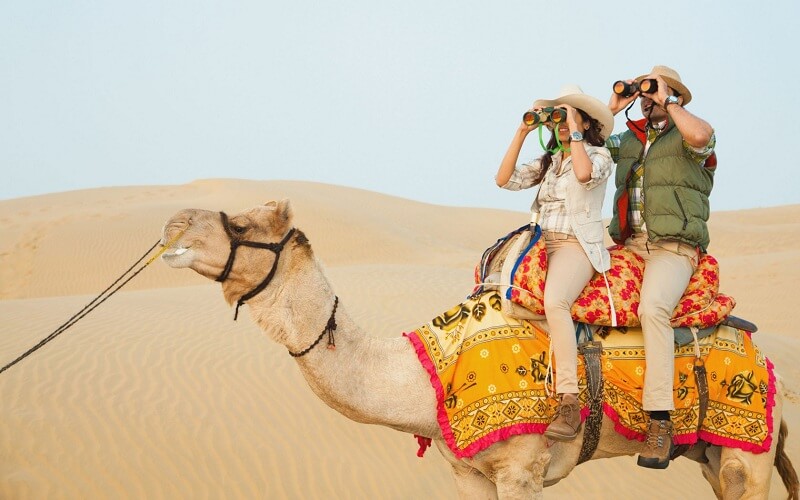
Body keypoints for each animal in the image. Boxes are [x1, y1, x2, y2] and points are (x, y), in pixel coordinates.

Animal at [160, 199, 799, 499]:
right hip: (713, 457)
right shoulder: (468, 473)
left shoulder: (523, 469)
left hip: (748, 455)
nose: (174, 224)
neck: (426, 376)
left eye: (243, 224)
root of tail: (767, 364)